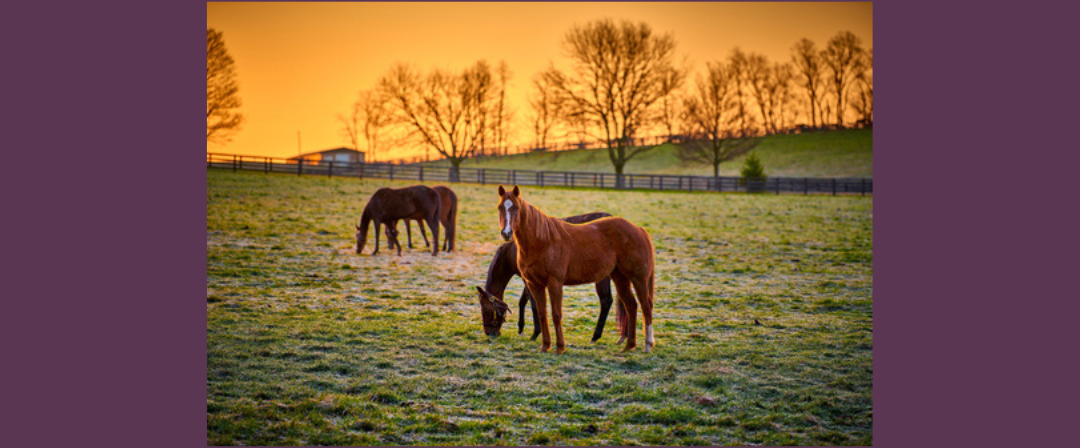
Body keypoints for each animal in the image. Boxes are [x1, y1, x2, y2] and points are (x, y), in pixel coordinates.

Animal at [473, 212, 626, 341]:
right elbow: (523, 301)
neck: (512, 250)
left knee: (606, 301)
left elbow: (534, 304)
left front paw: (536, 333)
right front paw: (521, 328)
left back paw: (596, 336)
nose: (489, 333)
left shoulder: (529, 280)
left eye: (486, 309)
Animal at [496, 185, 656, 354]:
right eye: (500, 207)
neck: (542, 241)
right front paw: (545, 346)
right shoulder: (534, 284)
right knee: (631, 306)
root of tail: (639, 229)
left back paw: (648, 345)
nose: (506, 233)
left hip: (639, 278)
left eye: (516, 207)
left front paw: (560, 347)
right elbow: (541, 313)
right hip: (620, 278)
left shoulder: (554, 283)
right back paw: (629, 345)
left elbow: (556, 314)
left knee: (646, 306)